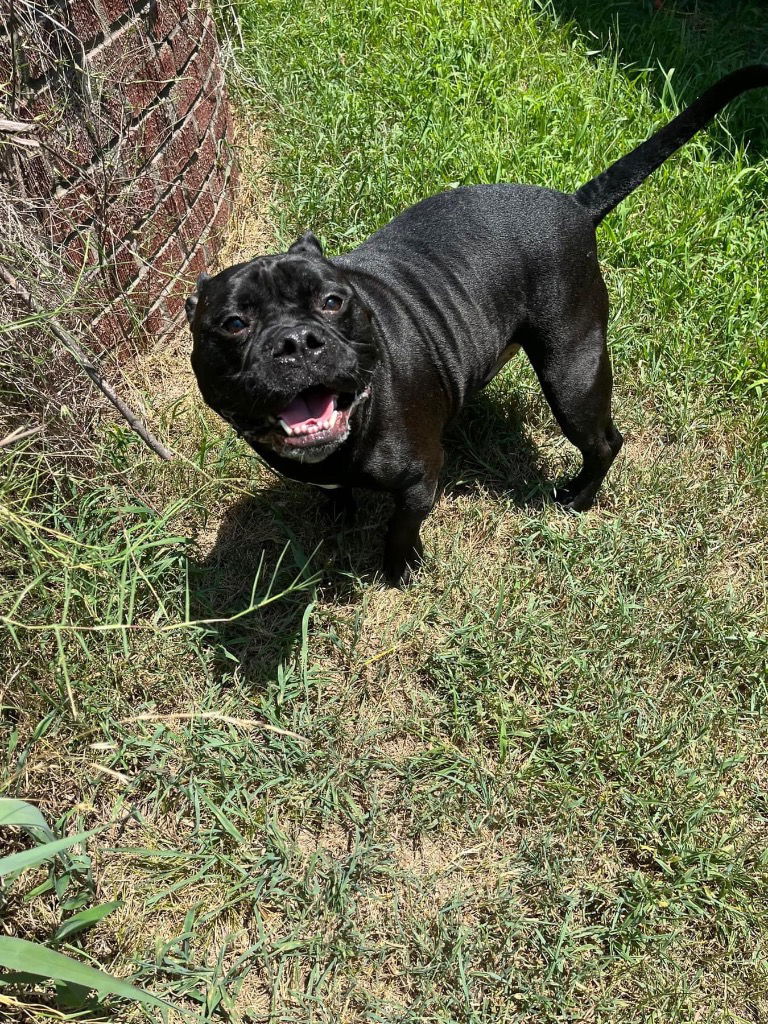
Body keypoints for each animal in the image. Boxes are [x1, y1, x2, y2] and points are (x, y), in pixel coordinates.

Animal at [188, 68, 768, 585]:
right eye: (233, 322)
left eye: (333, 302)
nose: (296, 341)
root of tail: (576, 205)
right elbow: (336, 495)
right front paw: (338, 523)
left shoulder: (420, 481)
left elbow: (400, 530)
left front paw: (400, 571)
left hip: (571, 373)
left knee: (604, 442)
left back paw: (577, 497)